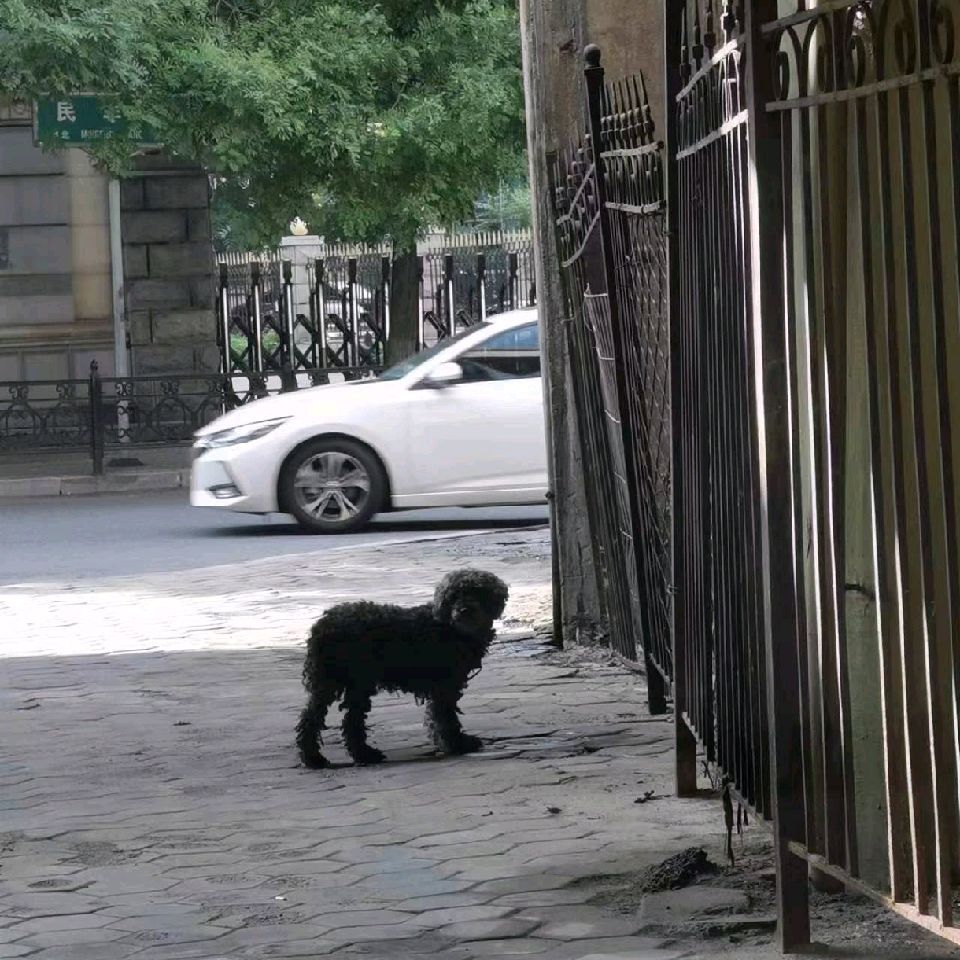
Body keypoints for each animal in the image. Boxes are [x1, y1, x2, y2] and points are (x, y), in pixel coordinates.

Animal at [296, 569, 509, 768]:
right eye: (453, 596)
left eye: (477, 591)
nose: (464, 610)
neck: (452, 627)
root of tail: (323, 624)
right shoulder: (444, 686)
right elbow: (446, 716)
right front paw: (457, 744)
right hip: (352, 681)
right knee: (339, 720)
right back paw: (346, 756)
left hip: (335, 683)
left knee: (325, 719)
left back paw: (333, 757)